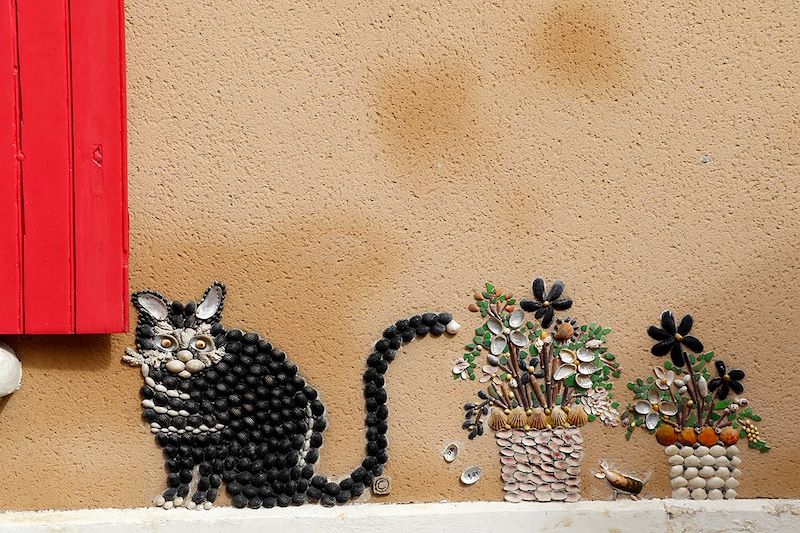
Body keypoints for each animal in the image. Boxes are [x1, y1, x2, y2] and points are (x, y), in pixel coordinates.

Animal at [125, 280, 462, 510]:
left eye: (200, 344)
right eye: (166, 343)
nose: (183, 357)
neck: (184, 383)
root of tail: (301, 477)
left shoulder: (217, 442)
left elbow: (207, 477)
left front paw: (199, 501)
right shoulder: (175, 441)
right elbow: (178, 475)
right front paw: (173, 500)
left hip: (246, 458)